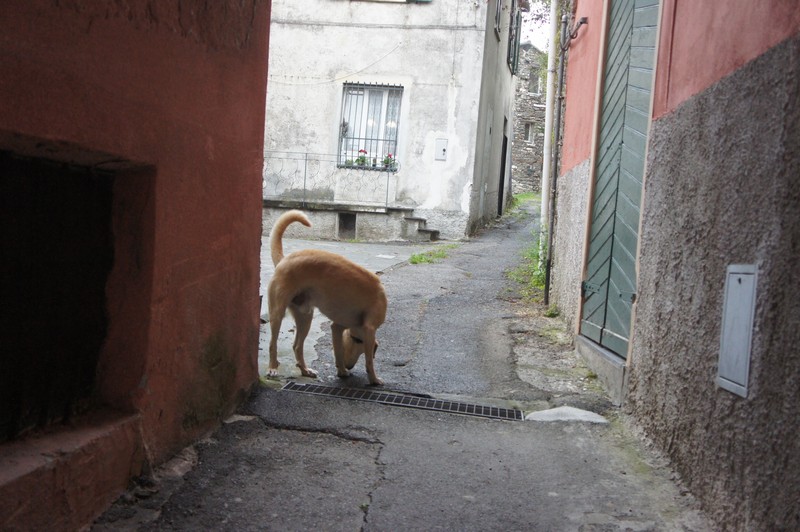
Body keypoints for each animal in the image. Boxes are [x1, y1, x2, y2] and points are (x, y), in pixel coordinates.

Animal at [267, 210, 386, 385]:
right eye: (356, 341)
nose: (349, 367)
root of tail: (284, 259)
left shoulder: (337, 328)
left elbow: (338, 351)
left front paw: (341, 371)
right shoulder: (369, 330)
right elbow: (369, 361)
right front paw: (374, 379)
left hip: (305, 317)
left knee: (297, 346)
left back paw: (305, 370)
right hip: (277, 313)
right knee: (272, 344)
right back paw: (272, 368)